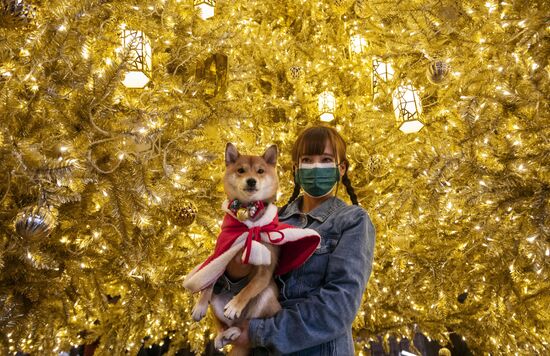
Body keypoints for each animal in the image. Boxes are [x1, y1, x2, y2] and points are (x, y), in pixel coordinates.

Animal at [184, 143, 322, 354]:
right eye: (240, 170)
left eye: (260, 171)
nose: (251, 180)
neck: (248, 220)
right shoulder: (220, 254)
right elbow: (209, 281)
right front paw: (200, 305)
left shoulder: (265, 271)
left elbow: (248, 289)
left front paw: (235, 305)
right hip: (217, 303)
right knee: (223, 325)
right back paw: (222, 336)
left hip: (266, 297)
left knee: (246, 329)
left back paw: (233, 331)